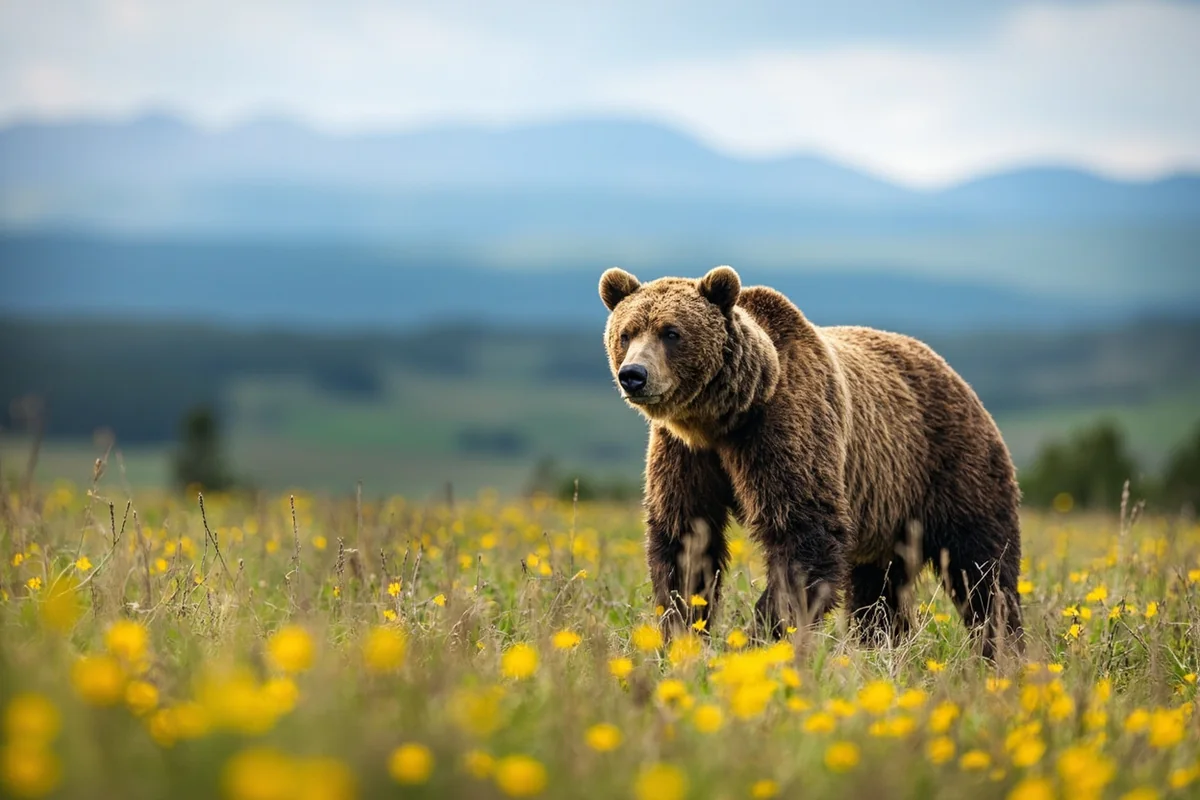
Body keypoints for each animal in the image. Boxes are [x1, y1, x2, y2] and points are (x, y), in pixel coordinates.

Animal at [599, 265, 1023, 659]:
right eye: (626, 333)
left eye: (671, 332)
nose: (633, 375)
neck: (723, 419)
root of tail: (956, 376)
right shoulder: (686, 454)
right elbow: (686, 540)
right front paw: (681, 633)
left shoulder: (783, 429)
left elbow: (804, 532)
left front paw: (758, 638)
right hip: (889, 511)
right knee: (879, 586)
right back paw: (881, 645)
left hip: (950, 464)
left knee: (983, 567)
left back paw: (1001, 648)